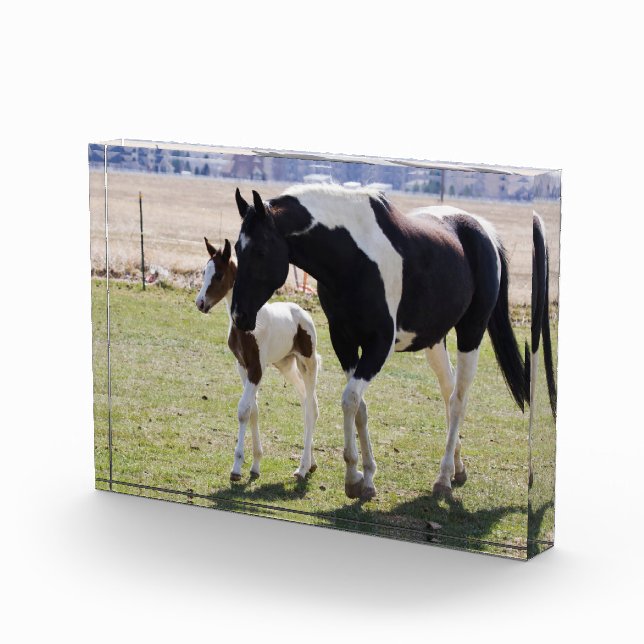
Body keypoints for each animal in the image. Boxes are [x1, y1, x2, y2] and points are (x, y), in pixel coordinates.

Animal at [195, 237, 320, 482]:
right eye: (204, 272)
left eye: (218, 275)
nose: (200, 303)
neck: (245, 326)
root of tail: (302, 313)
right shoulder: (242, 366)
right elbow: (253, 410)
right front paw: (254, 466)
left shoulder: (257, 369)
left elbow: (243, 410)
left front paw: (236, 468)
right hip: (286, 365)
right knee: (306, 401)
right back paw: (311, 463)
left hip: (308, 363)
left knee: (311, 406)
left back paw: (301, 468)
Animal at [231, 185, 527, 500]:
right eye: (236, 249)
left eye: (260, 251)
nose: (239, 316)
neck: (354, 258)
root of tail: (483, 231)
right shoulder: (344, 342)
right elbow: (360, 408)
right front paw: (367, 478)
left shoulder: (379, 345)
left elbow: (349, 400)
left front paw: (352, 477)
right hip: (435, 342)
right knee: (449, 393)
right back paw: (457, 468)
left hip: (471, 333)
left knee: (459, 400)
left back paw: (443, 478)